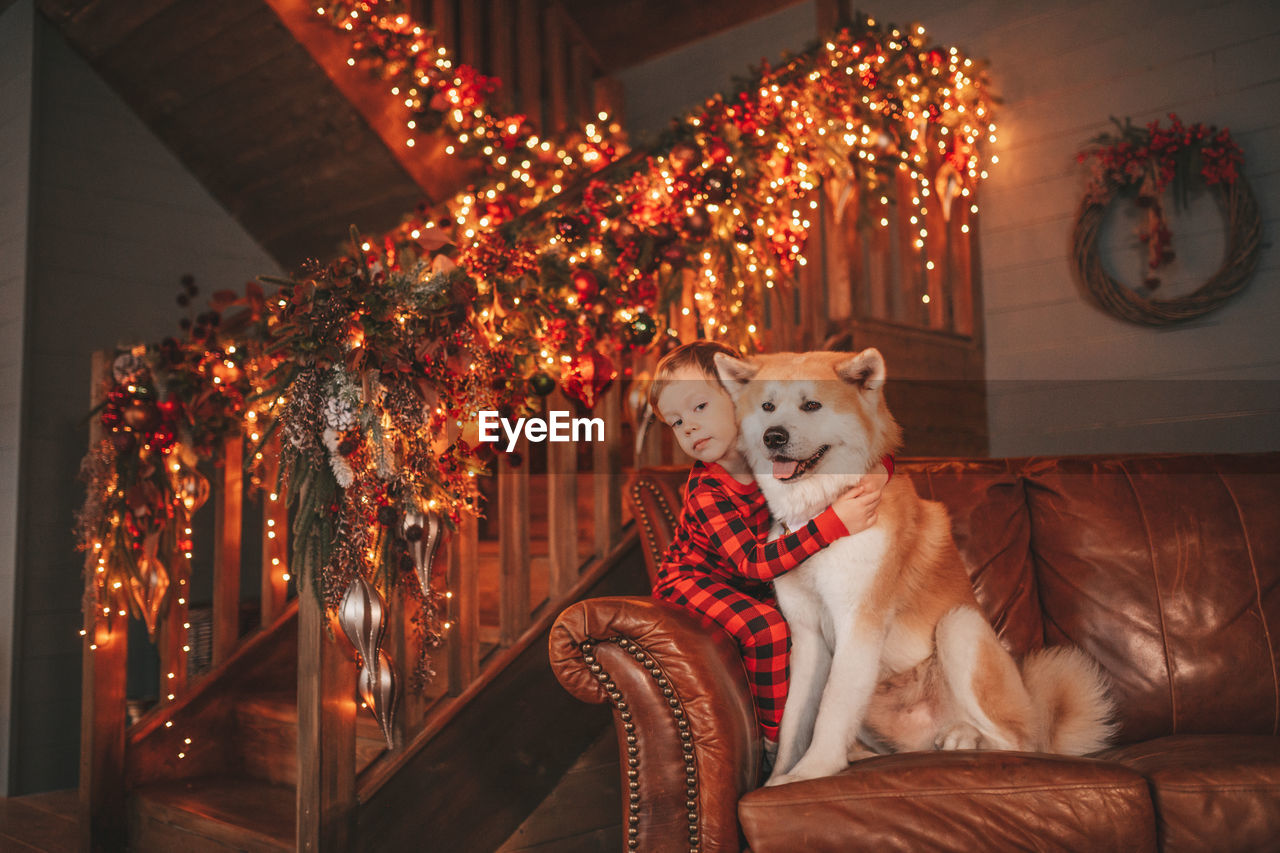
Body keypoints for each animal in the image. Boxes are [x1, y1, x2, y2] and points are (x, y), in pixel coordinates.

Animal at [716, 348, 1116, 783]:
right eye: (767, 407)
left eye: (812, 406)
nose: (773, 436)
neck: (820, 517)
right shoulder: (807, 637)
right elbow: (795, 719)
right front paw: (777, 780)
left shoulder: (859, 625)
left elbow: (830, 709)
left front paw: (813, 771)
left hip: (960, 626)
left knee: (1014, 741)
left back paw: (965, 738)